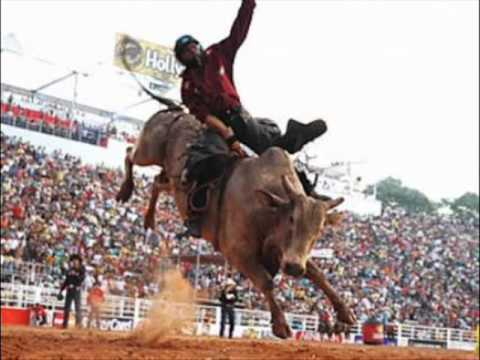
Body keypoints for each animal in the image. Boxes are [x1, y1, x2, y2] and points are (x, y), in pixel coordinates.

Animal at [116, 104, 356, 338]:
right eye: (291, 219)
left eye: (318, 230)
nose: (294, 268)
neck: (268, 211)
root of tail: (177, 112)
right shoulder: (238, 253)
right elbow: (266, 282)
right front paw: (281, 326)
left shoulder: (287, 251)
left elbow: (317, 274)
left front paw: (345, 314)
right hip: (148, 149)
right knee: (129, 153)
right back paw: (125, 190)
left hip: (173, 182)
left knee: (158, 182)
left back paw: (149, 219)